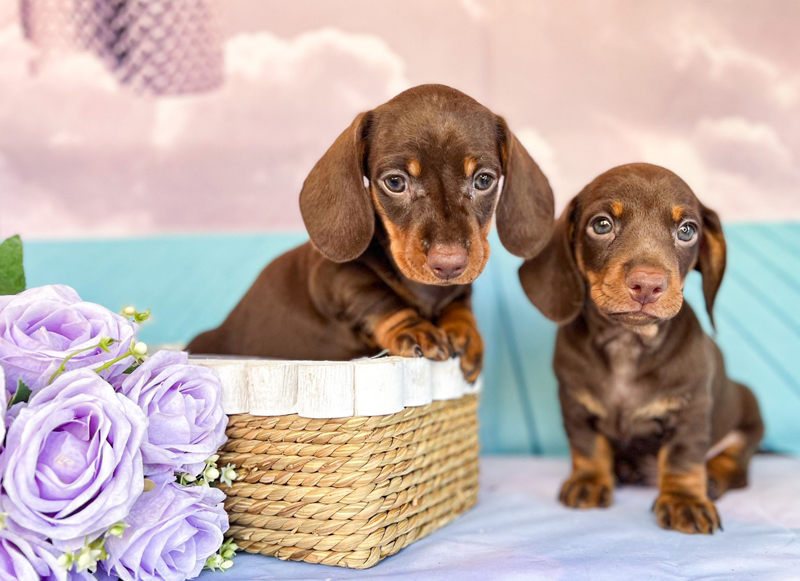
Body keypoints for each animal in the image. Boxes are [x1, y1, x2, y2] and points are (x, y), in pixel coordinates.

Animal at [188, 82, 552, 380]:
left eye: (484, 179)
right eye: (395, 182)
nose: (449, 264)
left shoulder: (459, 288)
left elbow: (459, 303)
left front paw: (465, 331)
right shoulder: (331, 276)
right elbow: (374, 294)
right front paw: (415, 329)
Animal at [520, 163, 764, 536]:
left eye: (687, 230)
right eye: (601, 225)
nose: (648, 285)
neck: (628, 343)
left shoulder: (690, 413)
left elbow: (682, 459)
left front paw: (684, 501)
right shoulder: (574, 405)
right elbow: (587, 447)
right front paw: (590, 481)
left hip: (748, 417)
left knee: (735, 464)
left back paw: (712, 480)